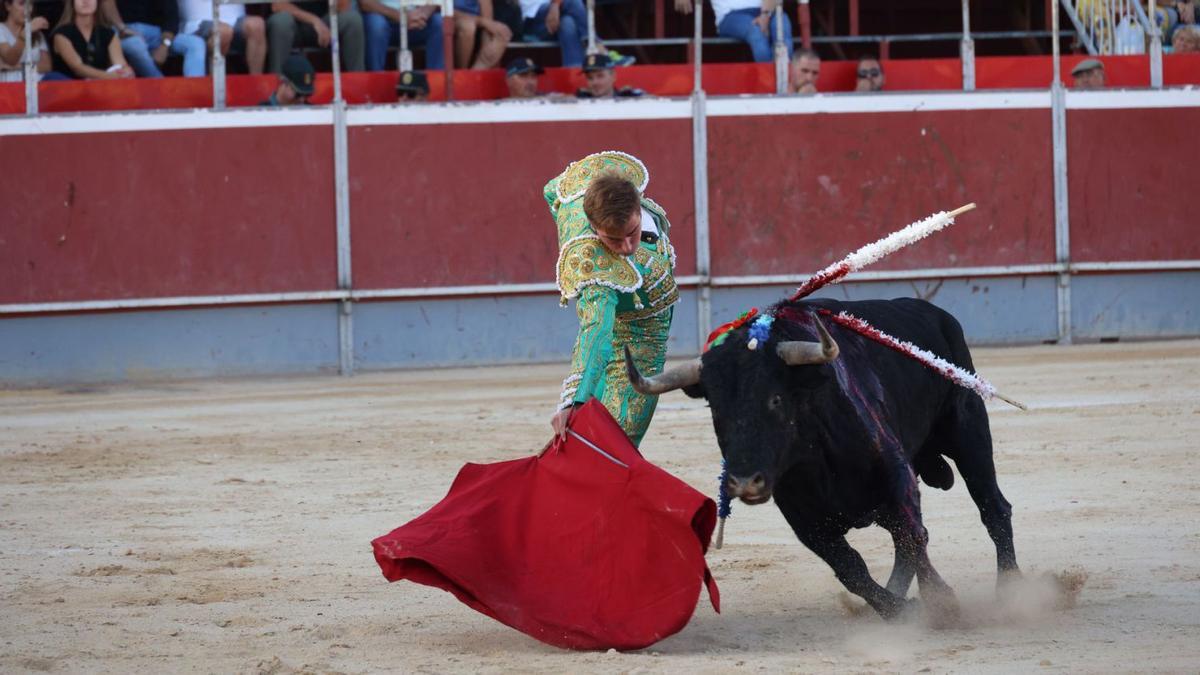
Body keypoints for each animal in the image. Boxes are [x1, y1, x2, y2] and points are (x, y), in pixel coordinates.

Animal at [628, 296, 1022, 619]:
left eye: (775, 398)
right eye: (715, 408)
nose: (744, 482)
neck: (816, 457)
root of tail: (936, 314)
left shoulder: (897, 475)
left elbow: (913, 535)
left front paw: (941, 601)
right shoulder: (805, 520)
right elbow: (852, 569)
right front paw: (900, 608)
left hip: (968, 430)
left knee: (992, 506)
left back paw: (1010, 590)